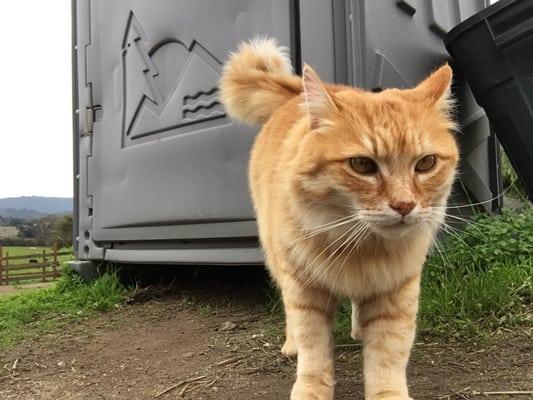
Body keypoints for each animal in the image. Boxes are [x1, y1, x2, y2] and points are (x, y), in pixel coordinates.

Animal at [219, 39, 458, 400]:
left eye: (426, 163)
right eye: (362, 165)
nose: (404, 205)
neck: (359, 245)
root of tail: (293, 97)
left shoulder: (396, 290)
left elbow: (388, 355)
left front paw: (388, 391)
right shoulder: (305, 292)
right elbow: (314, 352)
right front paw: (310, 388)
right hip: (278, 260)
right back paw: (291, 344)